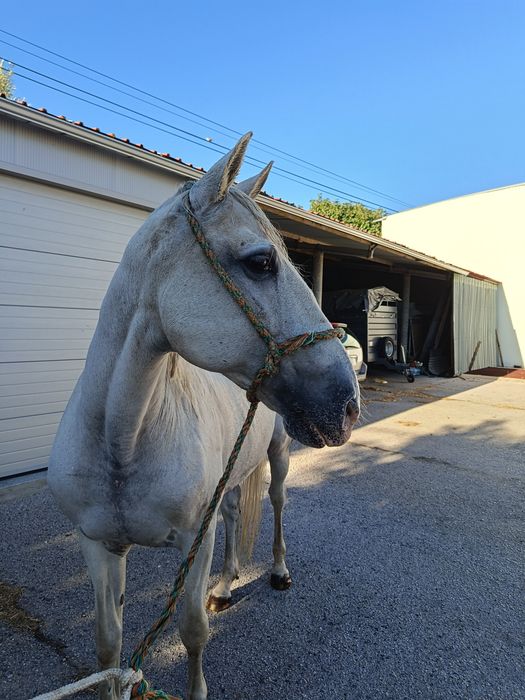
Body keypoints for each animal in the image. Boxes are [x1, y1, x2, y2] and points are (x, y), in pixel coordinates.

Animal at [47, 133, 360, 700]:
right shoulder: (97, 546)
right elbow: (108, 647)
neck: (122, 440)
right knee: (235, 514)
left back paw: (277, 571)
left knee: (276, 504)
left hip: (278, 456)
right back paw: (227, 583)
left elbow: (193, 630)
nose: (349, 403)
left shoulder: (195, 538)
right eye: (261, 262)